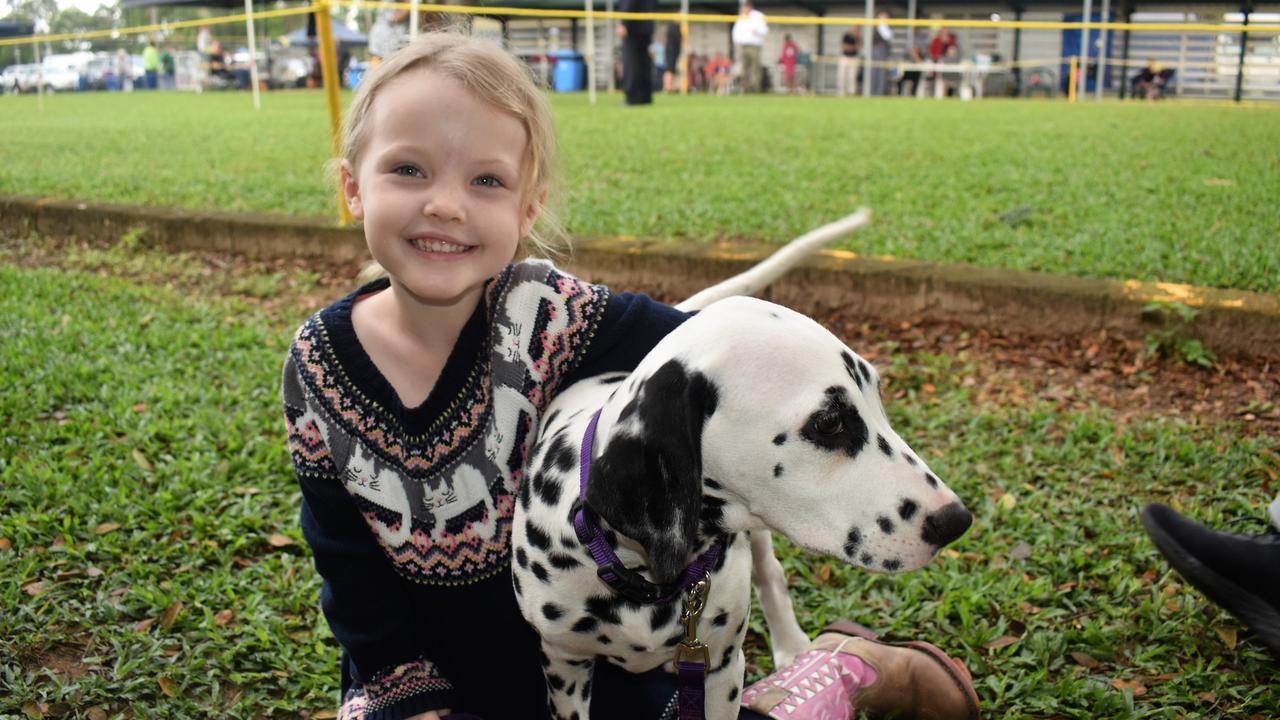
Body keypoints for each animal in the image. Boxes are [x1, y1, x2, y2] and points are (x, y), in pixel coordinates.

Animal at [512, 208, 967, 717]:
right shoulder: (564, 665)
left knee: (772, 574)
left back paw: (792, 645)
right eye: (828, 422)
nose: (956, 521)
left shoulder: (721, 667)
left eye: (876, 395)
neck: (642, 572)